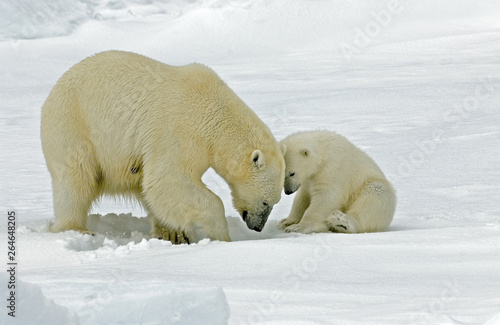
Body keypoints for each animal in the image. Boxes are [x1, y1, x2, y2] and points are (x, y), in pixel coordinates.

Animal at [40, 50, 284, 243]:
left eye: (275, 201)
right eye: (265, 201)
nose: (257, 226)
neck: (216, 114)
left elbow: (160, 188)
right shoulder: (178, 132)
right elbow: (167, 179)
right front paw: (222, 236)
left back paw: (170, 233)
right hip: (74, 126)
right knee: (75, 179)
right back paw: (76, 229)